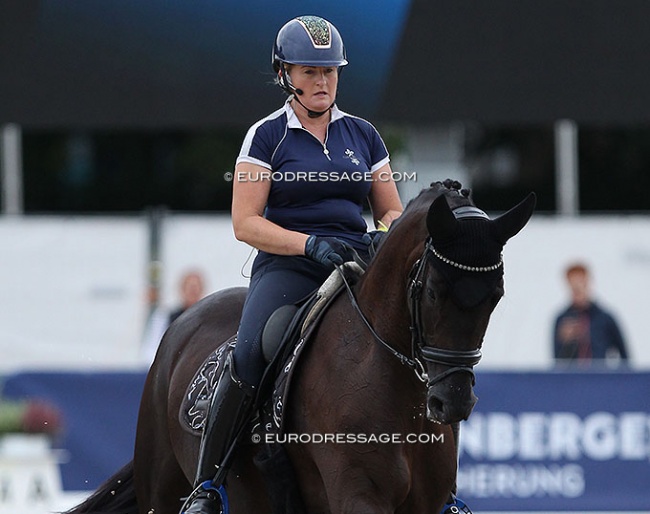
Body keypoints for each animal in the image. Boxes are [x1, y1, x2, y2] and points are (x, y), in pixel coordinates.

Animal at [67, 180, 532, 512]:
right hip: (163, 490)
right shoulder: (359, 497)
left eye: (496, 296)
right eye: (433, 291)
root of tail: (182, 323)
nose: (453, 401)